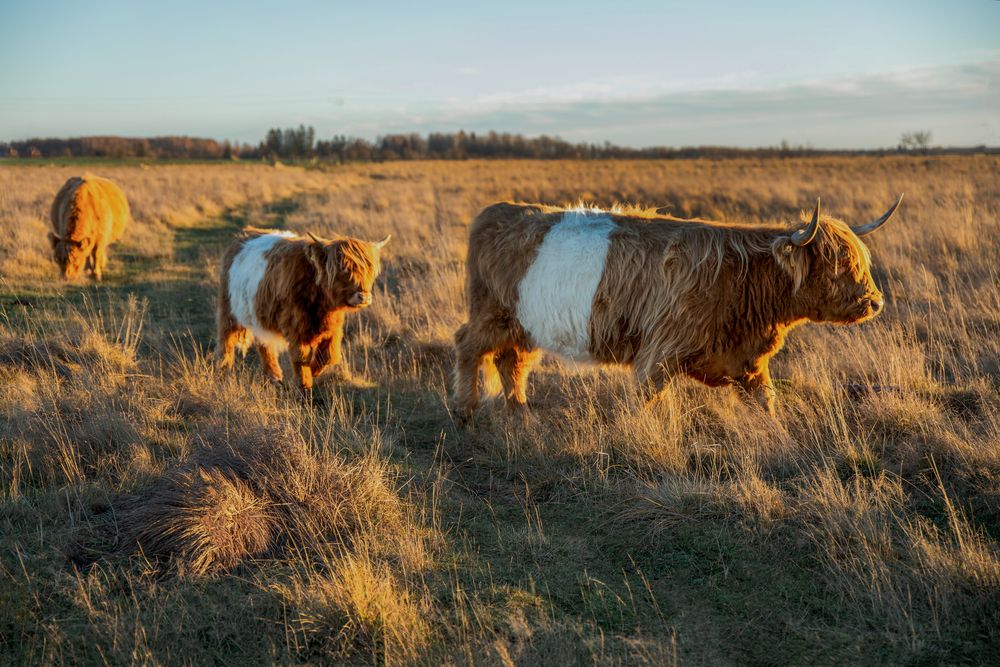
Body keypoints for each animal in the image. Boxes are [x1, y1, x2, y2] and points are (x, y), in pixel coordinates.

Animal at [217, 227, 390, 393]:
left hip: (259, 314)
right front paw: (304, 386)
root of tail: (243, 234)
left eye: (369, 270)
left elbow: (329, 356)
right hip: (228, 308)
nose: (363, 297)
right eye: (343, 269)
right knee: (226, 339)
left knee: (264, 344)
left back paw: (274, 377)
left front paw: (314, 372)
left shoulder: (333, 328)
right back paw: (223, 370)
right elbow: (301, 357)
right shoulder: (296, 327)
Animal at [452, 196, 902, 423]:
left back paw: (519, 409)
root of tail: (496, 210)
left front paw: (774, 434)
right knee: (468, 345)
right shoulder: (660, 352)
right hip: (492, 313)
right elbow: (645, 400)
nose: (874, 302)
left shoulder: (749, 362)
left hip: (525, 323)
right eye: (838, 263)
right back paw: (466, 409)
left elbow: (767, 401)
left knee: (513, 360)